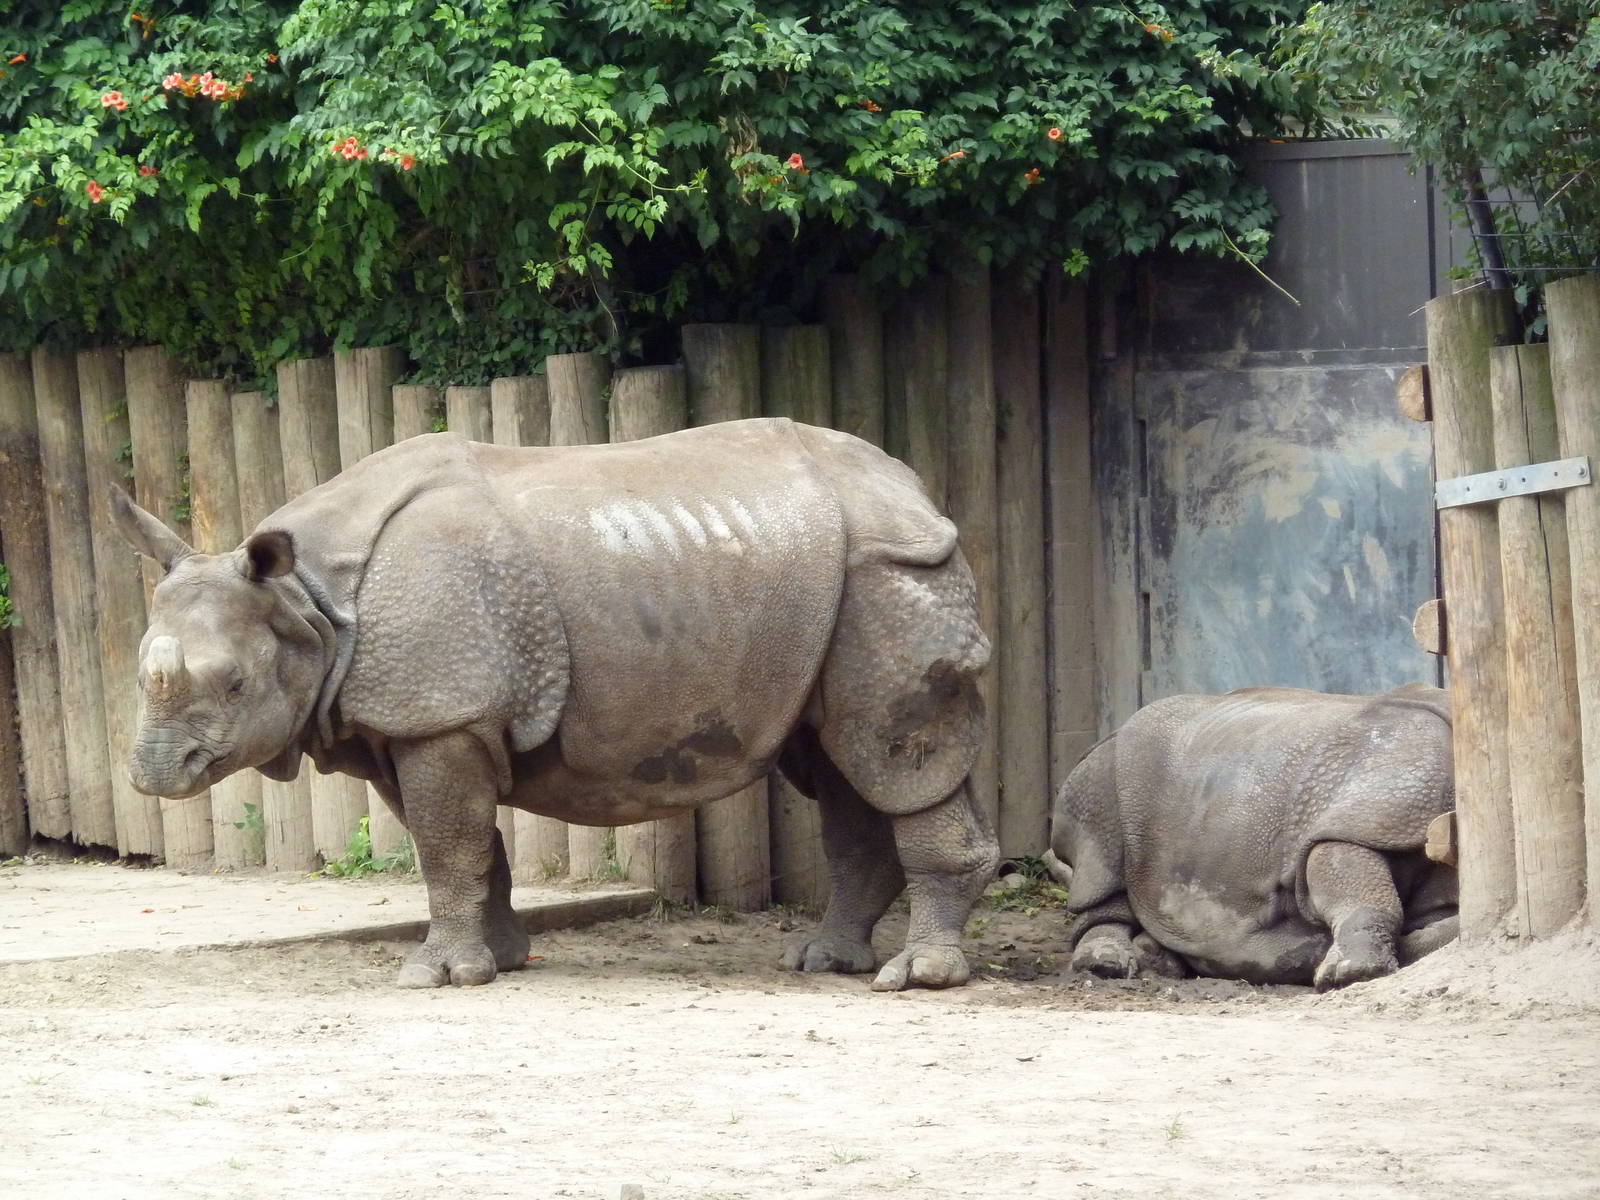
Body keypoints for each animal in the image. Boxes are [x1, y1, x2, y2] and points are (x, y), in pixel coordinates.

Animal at [113, 419, 999, 990]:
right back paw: (826, 963)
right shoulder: (412, 720)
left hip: (890, 569)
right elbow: (465, 845)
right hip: (836, 586)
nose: (154, 773)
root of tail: (914, 486)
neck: (306, 600)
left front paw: (434, 977)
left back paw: (917, 977)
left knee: (890, 755)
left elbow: (446, 844)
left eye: (234, 684)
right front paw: (499, 961)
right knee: (839, 762)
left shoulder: (440, 710)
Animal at [1050, 685, 1459, 991]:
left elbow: (1445, 929)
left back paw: (1156, 958)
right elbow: (1347, 872)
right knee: (1099, 863)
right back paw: (1108, 964)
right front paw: (1350, 974)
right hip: (1103, 775)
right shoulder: (1374, 810)